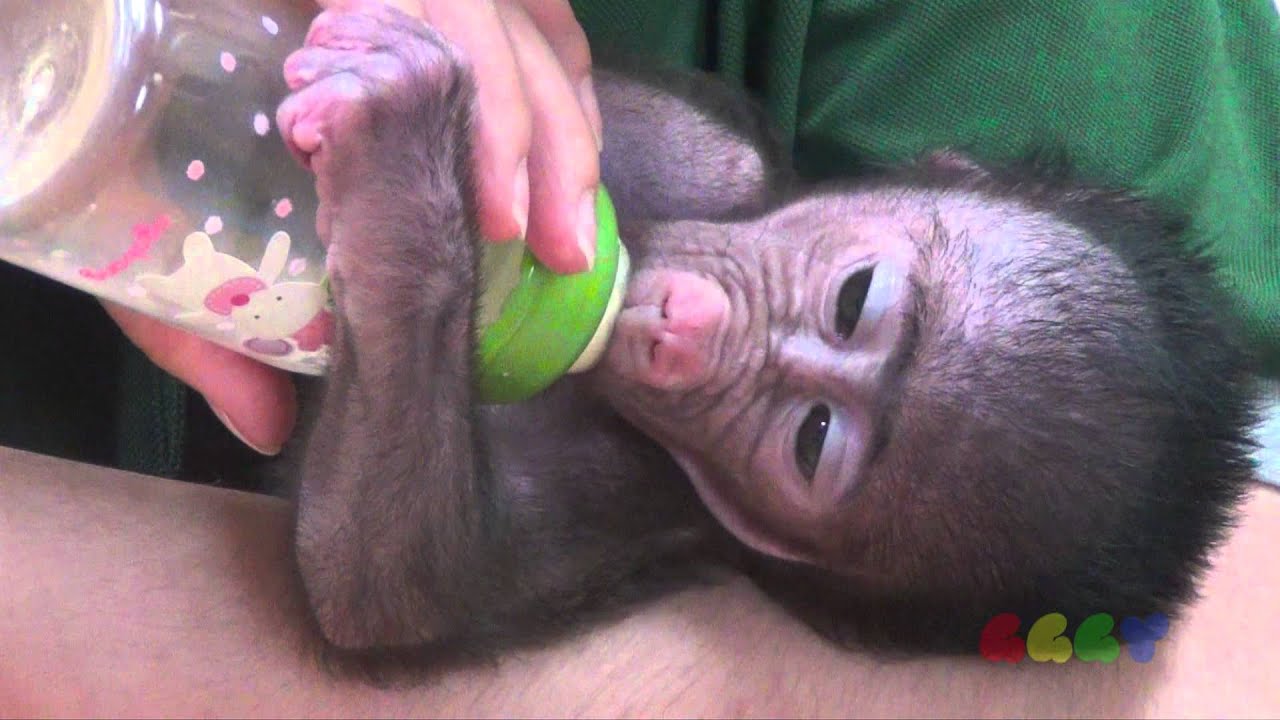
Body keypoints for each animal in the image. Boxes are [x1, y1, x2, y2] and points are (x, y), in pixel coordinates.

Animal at [270, 3, 1259, 667]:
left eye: (812, 439)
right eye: (854, 299)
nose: (686, 332)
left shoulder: (650, 502)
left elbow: (382, 586)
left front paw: (401, 174)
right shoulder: (713, 161)